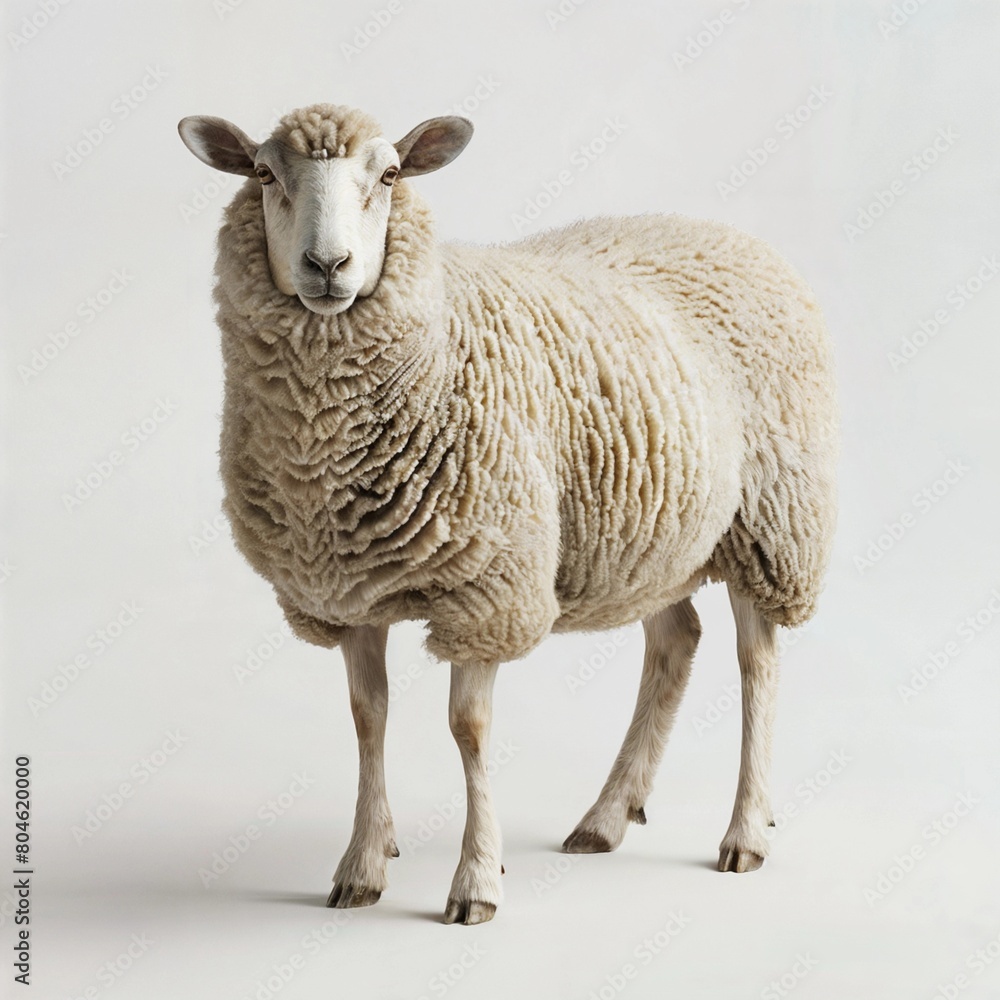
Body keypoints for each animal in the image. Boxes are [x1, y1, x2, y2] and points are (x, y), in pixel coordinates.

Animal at [177, 102, 837, 925]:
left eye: (389, 175)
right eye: (265, 174)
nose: (328, 266)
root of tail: (730, 235)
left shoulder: (488, 584)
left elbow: (469, 729)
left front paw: (477, 881)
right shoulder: (349, 586)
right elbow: (368, 716)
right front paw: (363, 864)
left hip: (773, 521)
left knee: (757, 665)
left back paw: (745, 830)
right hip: (657, 529)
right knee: (674, 642)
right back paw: (606, 817)